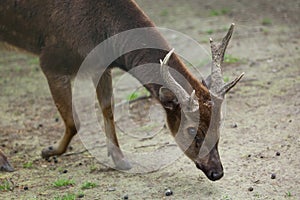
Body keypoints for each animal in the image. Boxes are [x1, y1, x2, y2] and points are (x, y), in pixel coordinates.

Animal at [0, 0, 243, 181]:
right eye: (192, 130)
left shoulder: (101, 66)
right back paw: (5, 162)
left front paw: (120, 159)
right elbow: (73, 121)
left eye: (219, 123)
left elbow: (108, 109)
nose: (217, 172)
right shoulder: (52, 60)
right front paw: (50, 151)